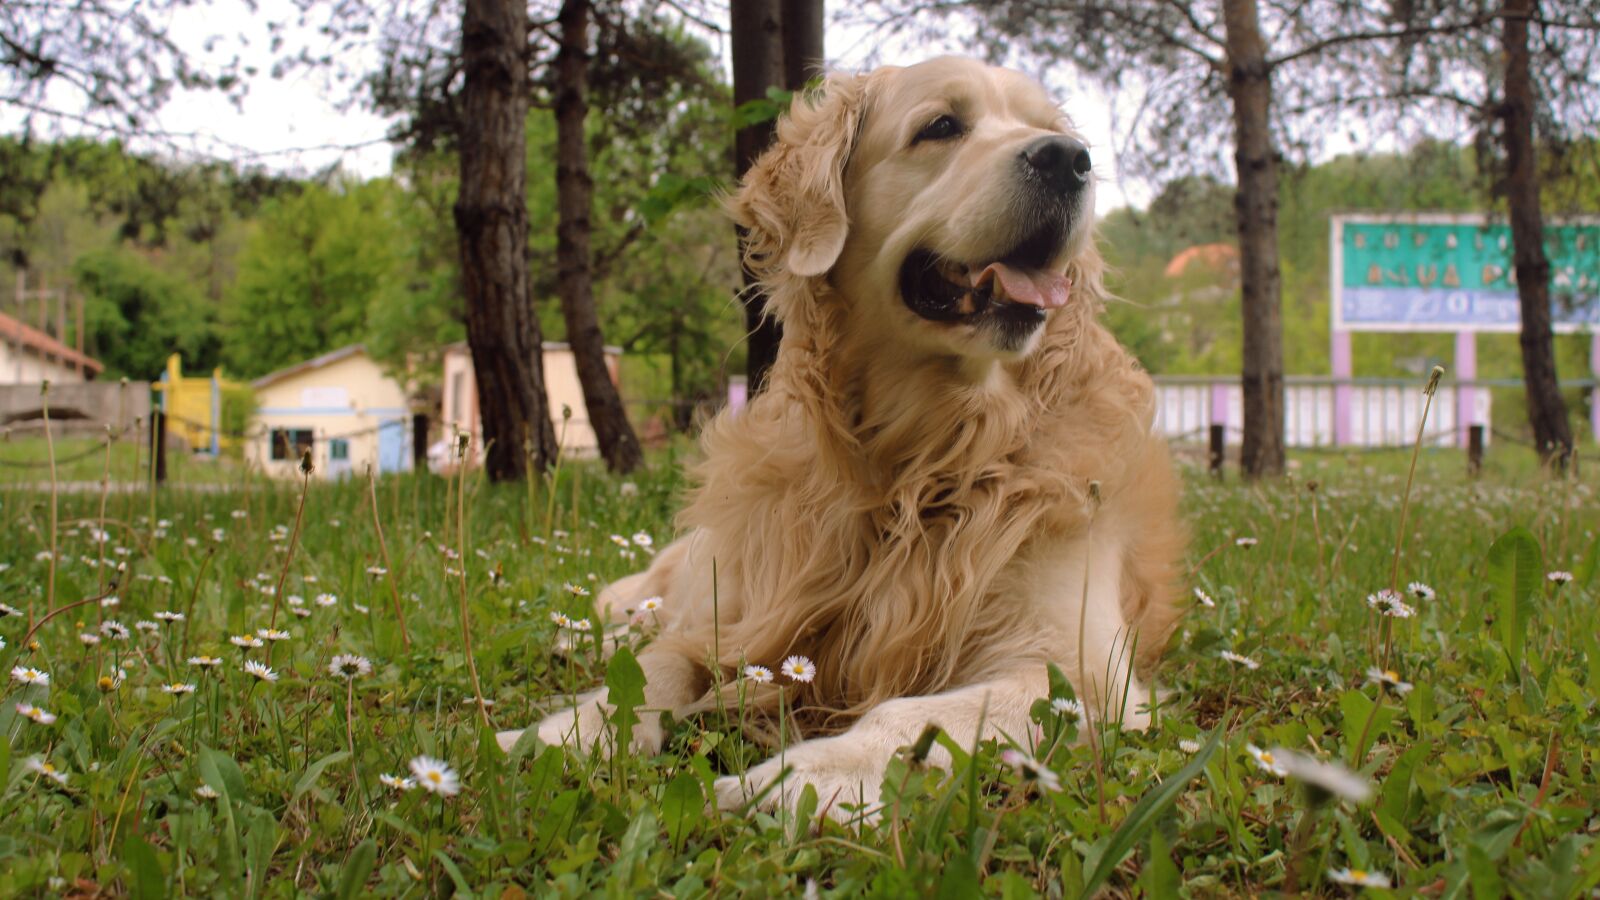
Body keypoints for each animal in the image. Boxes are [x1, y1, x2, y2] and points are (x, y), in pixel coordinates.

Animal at [499, 54, 1190, 813]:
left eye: (1052, 130)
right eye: (940, 126)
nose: (1070, 160)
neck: (923, 453)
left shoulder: (1078, 675)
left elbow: (910, 716)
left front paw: (800, 777)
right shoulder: (743, 614)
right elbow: (654, 668)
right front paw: (567, 731)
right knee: (635, 614)